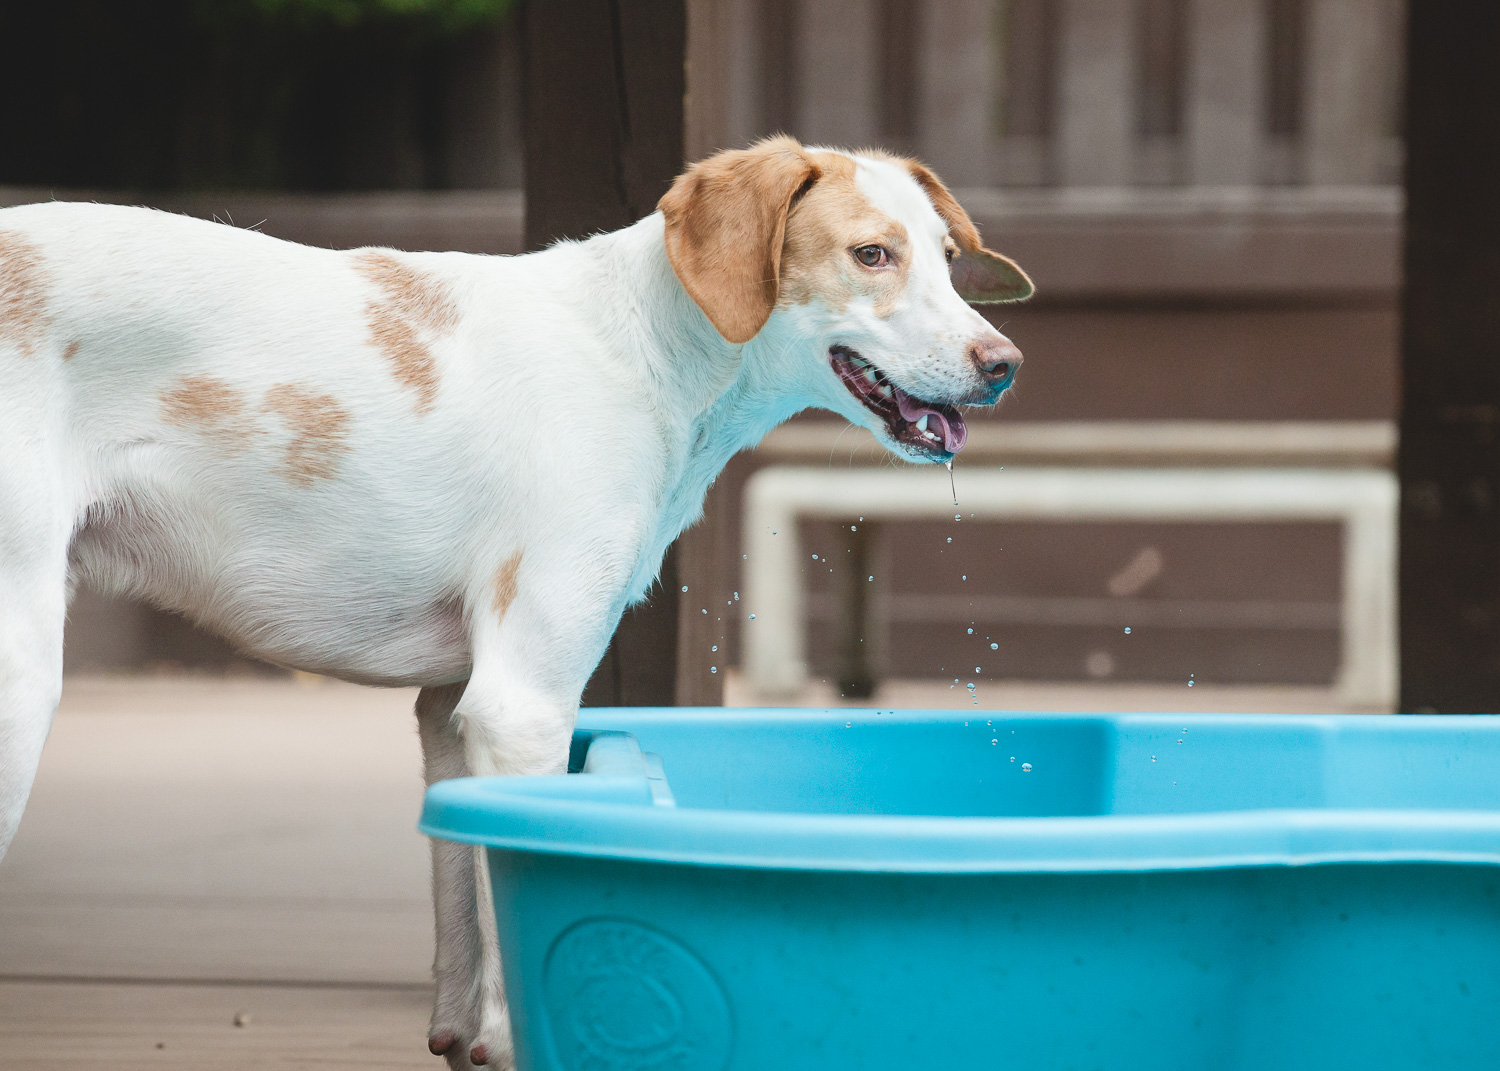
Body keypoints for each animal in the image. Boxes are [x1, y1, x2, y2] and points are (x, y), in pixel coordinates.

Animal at [0, 138, 1032, 1062]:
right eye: (872, 254)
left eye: (948, 257)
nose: (1004, 362)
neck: (645, 349)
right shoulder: (522, 702)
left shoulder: (450, 715)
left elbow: (464, 907)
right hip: (20, 684)